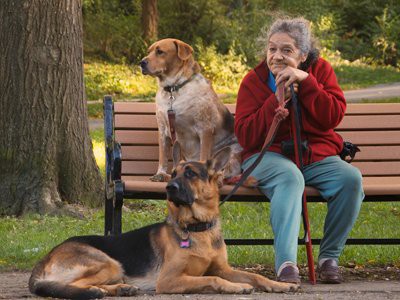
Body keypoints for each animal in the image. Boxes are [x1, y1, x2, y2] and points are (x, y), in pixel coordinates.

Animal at [29, 145, 298, 298]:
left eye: (190, 173)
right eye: (173, 174)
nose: (169, 188)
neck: (197, 229)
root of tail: (46, 257)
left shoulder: (224, 268)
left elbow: (255, 277)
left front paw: (280, 285)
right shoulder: (170, 279)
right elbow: (211, 279)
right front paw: (235, 288)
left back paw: (121, 289)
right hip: (108, 263)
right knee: (74, 286)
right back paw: (101, 290)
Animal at [141, 37, 247, 183]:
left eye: (160, 51)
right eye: (149, 52)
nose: (141, 63)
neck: (174, 89)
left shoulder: (205, 129)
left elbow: (204, 156)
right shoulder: (163, 130)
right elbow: (163, 157)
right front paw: (160, 174)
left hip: (232, 150)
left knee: (227, 171)